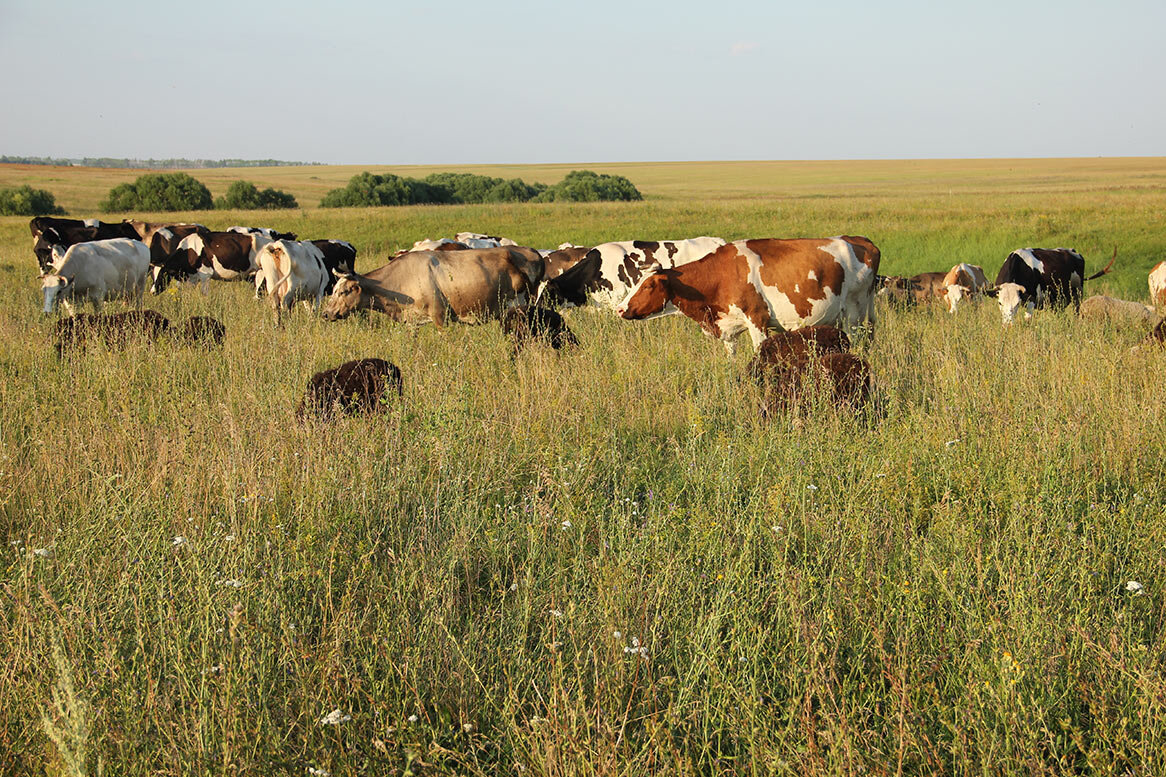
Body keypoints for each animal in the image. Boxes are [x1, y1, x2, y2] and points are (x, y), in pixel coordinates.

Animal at [615, 234, 876, 352]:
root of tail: (860, 240)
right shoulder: (728, 328)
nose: (619, 309)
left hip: (854, 313)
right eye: (637, 283)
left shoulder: (757, 320)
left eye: (648, 286)